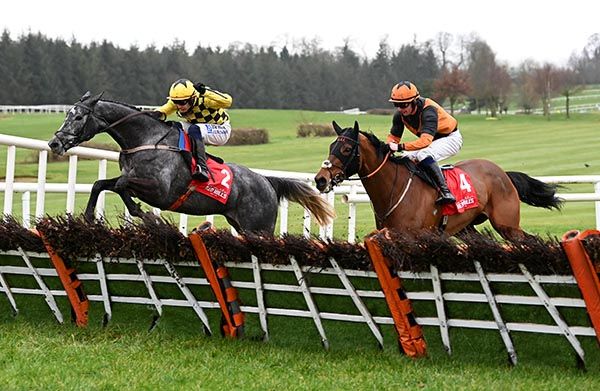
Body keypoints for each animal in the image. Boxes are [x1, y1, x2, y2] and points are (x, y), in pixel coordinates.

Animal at [48, 91, 336, 233]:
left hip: (259, 228)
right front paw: (87, 217)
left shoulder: (159, 189)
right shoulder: (132, 176)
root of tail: (267, 182)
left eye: (78, 117)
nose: (54, 143)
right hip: (243, 226)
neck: (145, 139)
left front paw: (146, 216)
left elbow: (120, 187)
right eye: (67, 114)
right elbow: (101, 184)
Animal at [314, 121, 564, 240]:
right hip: (466, 228)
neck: (394, 189)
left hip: (507, 224)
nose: (320, 179)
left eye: (346, 149)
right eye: (330, 146)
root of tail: (503, 173)